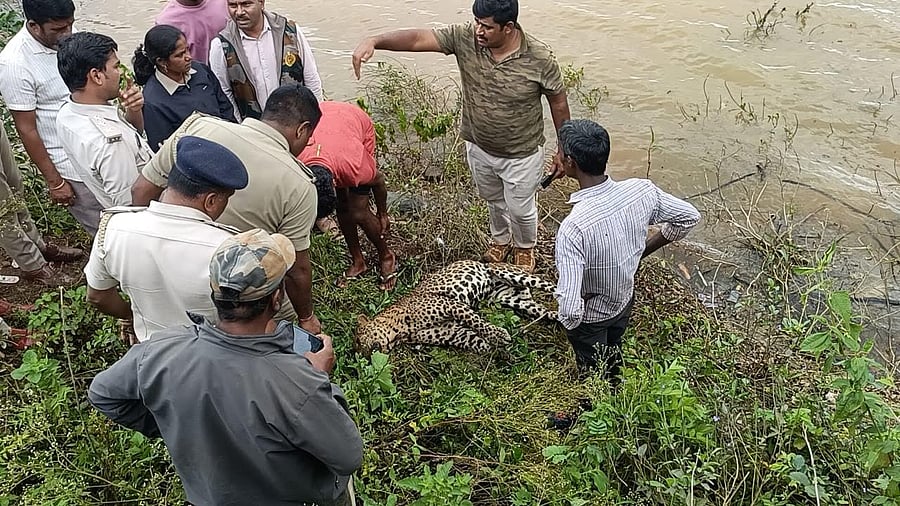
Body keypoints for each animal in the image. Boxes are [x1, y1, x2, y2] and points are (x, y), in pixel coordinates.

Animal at [356, 260, 558, 353]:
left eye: (357, 341)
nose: (364, 356)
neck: (400, 332)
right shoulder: (453, 332)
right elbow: (478, 341)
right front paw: (501, 351)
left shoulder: (451, 305)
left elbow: (477, 322)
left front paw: (499, 335)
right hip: (513, 300)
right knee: (545, 311)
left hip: (508, 273)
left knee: (551, 286)